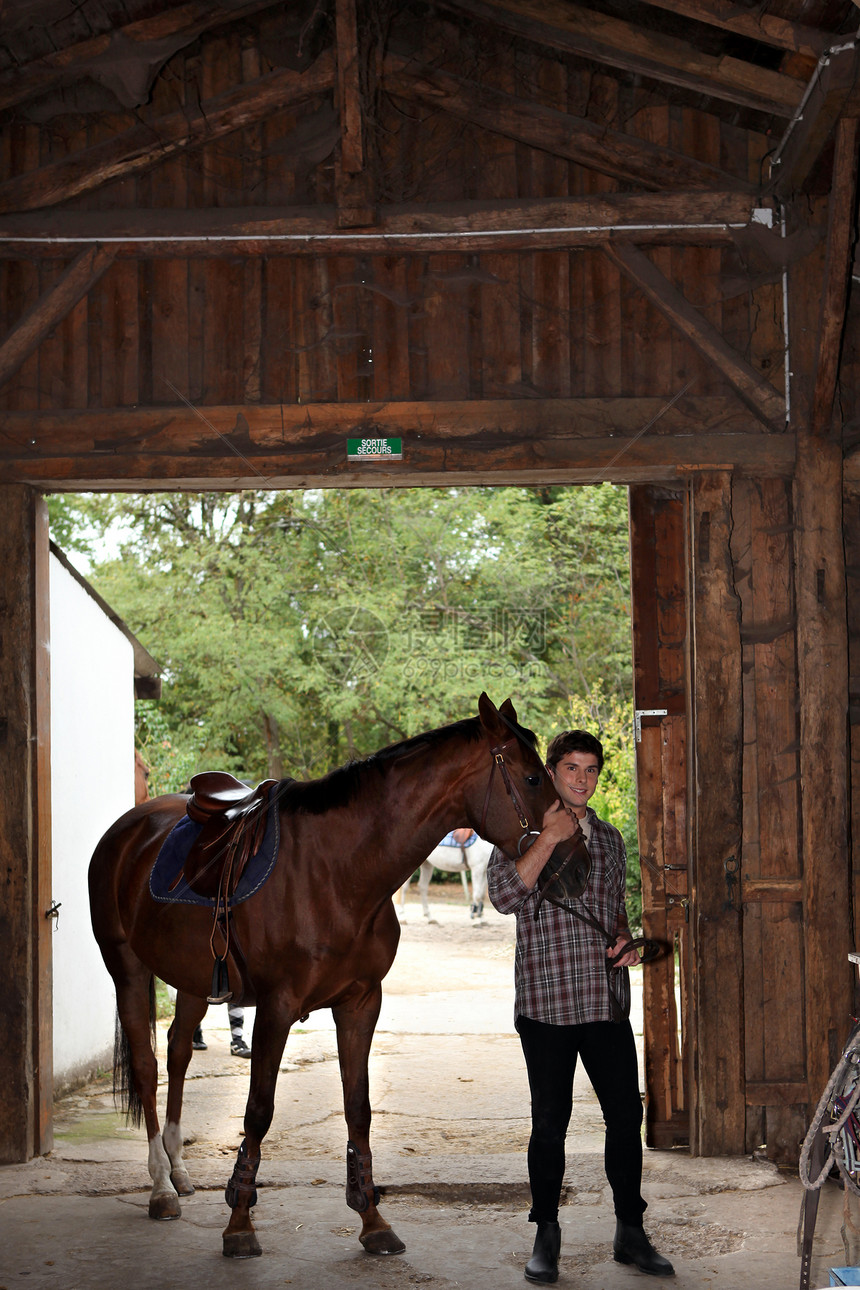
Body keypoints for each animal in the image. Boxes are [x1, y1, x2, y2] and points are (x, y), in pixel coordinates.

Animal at [85, 696, 559, 1259]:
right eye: (531, 777)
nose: (572, 844)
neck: (339, 869)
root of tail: (127, 829)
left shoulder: (360, 1003)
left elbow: (359, 1108)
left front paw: (372, 1219)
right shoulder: (276, 1008)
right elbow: (258, 1111)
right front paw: (239, 1222)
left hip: (193, 979)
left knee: (179, 1051)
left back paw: (179, 1171)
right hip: (126, 967)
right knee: (146, 1064)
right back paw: (160, 1186)